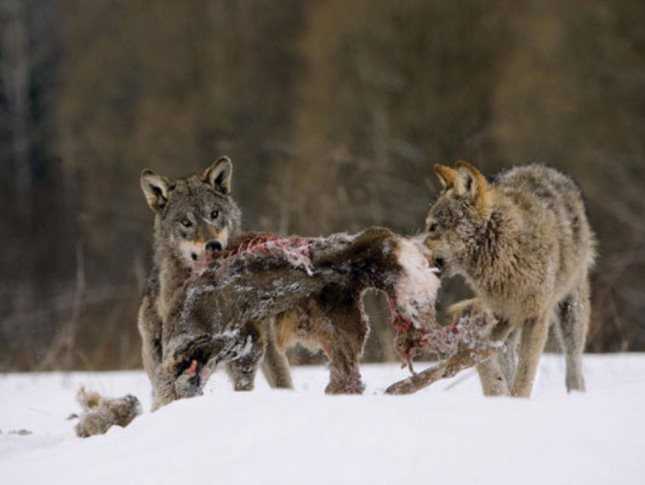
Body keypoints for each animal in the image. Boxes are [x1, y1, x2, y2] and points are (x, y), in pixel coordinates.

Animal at [422, 163, 592, 398]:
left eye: (433, 226)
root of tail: (542, 167)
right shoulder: (499, 317)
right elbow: (484, 361)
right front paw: (500, 393)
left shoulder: (536, 316)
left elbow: (525, 373)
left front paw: (517, 400)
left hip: (571, 311)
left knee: (574, 363)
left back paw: (577, 393)